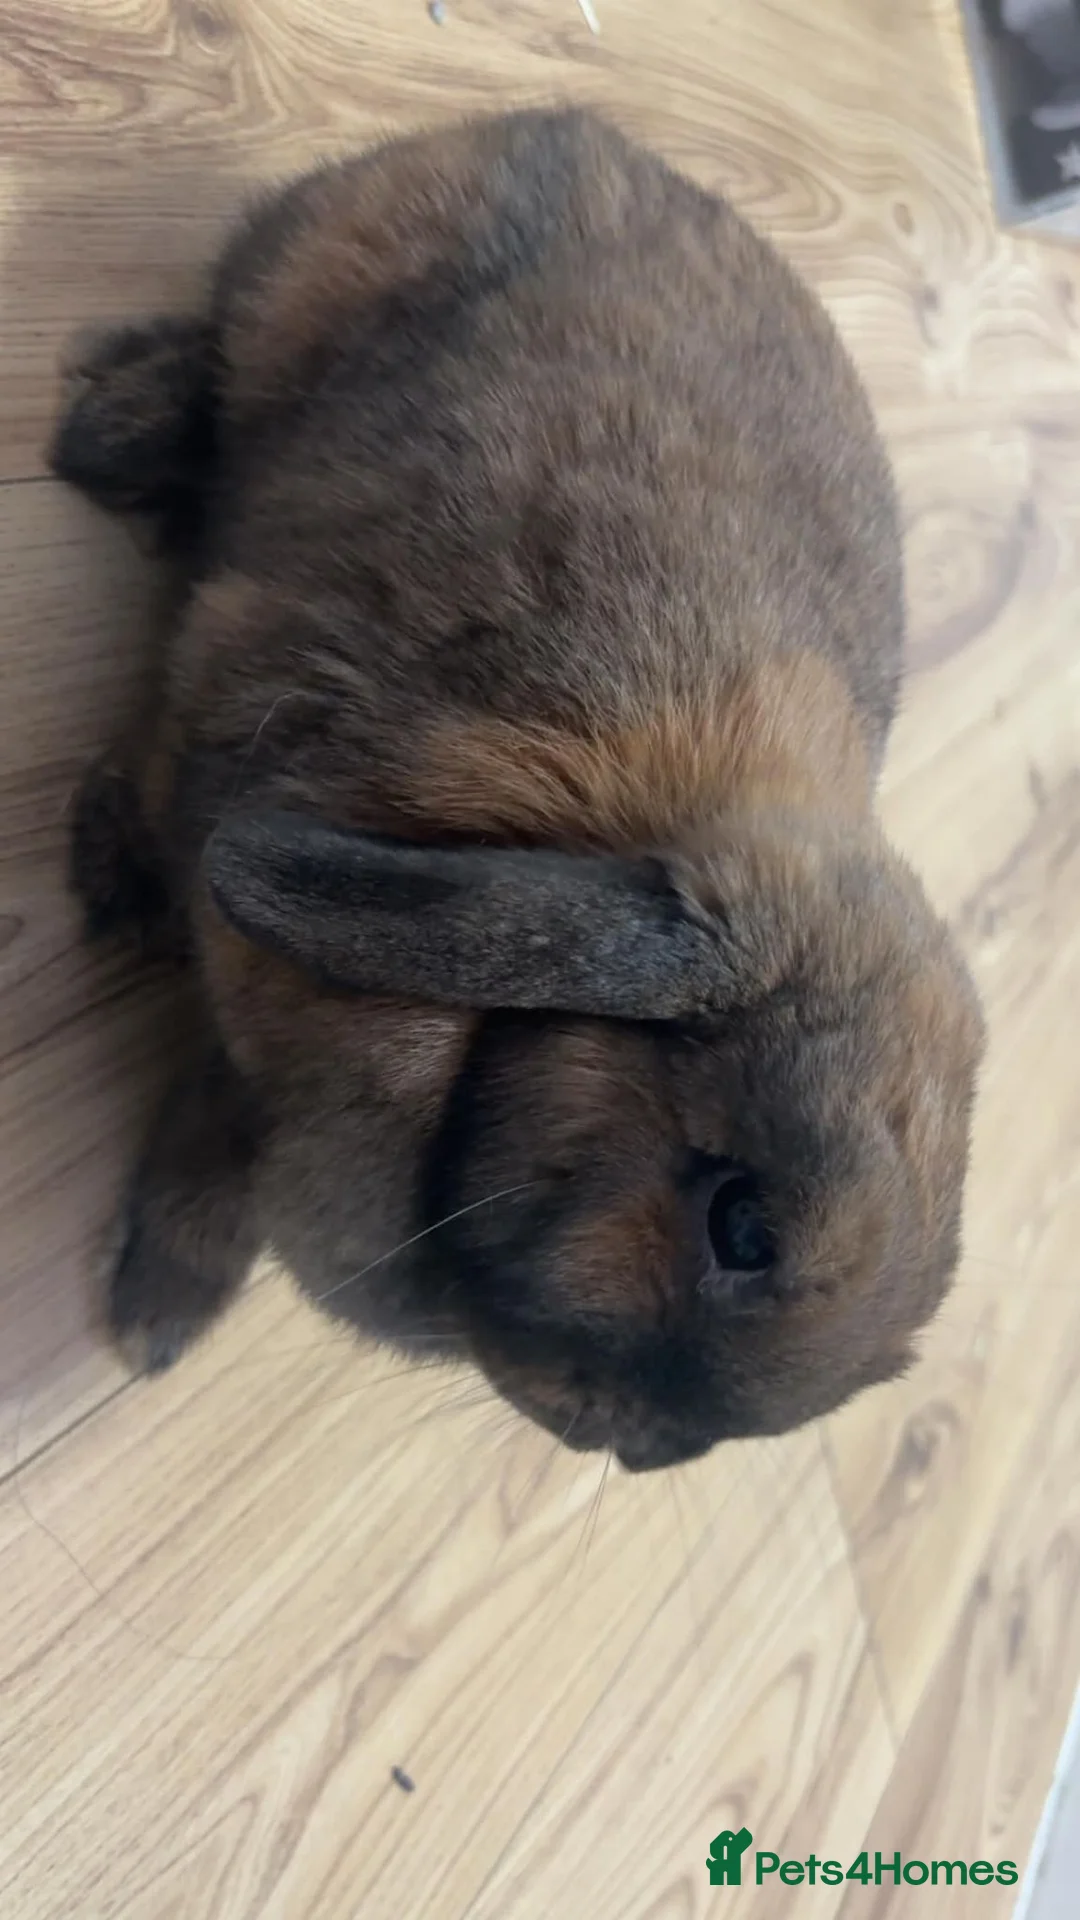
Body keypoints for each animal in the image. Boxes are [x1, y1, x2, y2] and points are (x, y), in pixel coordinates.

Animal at [52, 107, 984, 1472]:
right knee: (210, 355)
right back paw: (104, 432)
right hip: (285, 295)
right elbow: (212, 1113)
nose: (639, 1448)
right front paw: (158, 1312)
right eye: (744, 1228)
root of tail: (582, 132)